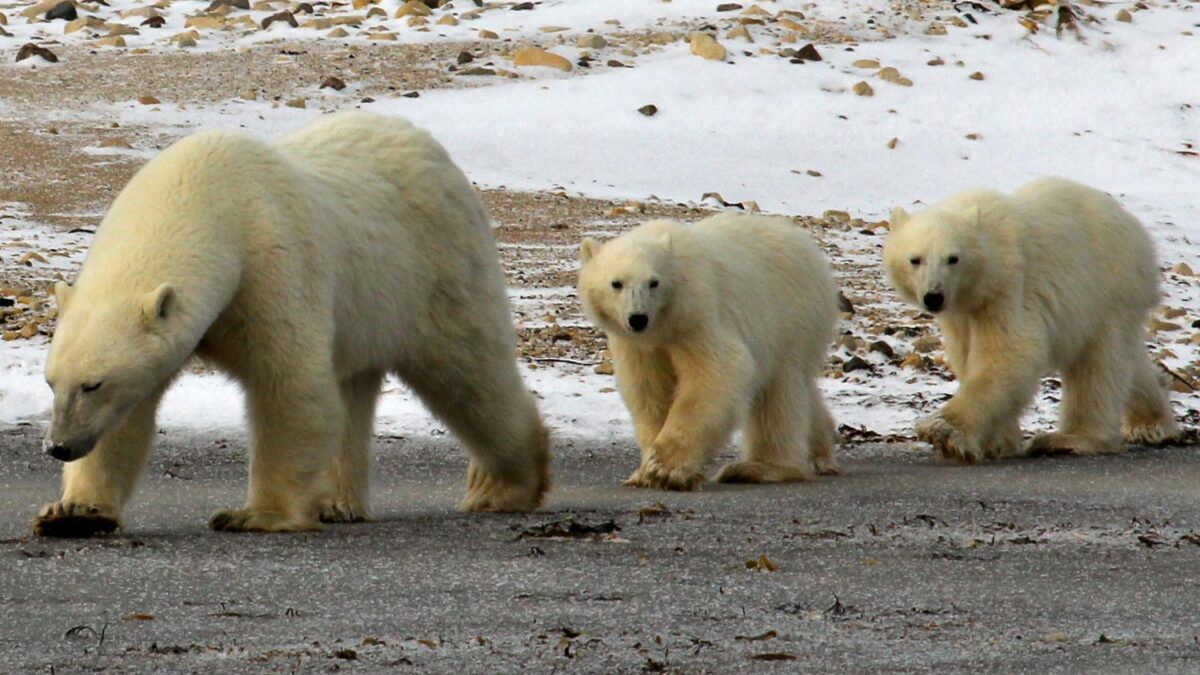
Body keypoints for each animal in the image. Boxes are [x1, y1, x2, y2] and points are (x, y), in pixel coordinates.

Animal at [35, 111, 550, 537]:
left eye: (94, 383)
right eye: (52, 382)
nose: (59, 447)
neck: (205, 195)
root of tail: (432, 149)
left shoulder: (268, 261)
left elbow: (288, 384)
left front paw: (254, 515)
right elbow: (126, 419)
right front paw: (74, 514)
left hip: (434, 271)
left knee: (469, 375)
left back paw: (504, 486)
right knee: (352, 389)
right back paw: (335, 503)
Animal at [578, 213, 841, 491]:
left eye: (654, 282)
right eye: (616, 283)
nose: (638, 318)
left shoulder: (697, 315)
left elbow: (717, 371)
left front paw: (666, 470)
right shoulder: (636, 344)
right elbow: (648, 388)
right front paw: (645, 470)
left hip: (790, 316)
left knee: (778, 392)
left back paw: (758, 467)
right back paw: (819, 452)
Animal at [883, 176, 1180, 463]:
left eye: (953, 258)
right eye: (915, 259)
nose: (934, 297)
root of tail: (1135, 227)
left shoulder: (1008, 291)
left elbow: (1009, 355)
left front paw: (945, 432)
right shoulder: (962, 313)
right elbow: (967, 357)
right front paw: (998, 442)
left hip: (1107, 290)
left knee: (1096, 365)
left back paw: (1069, 439)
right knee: (1127, 360)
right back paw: (1151, 421)